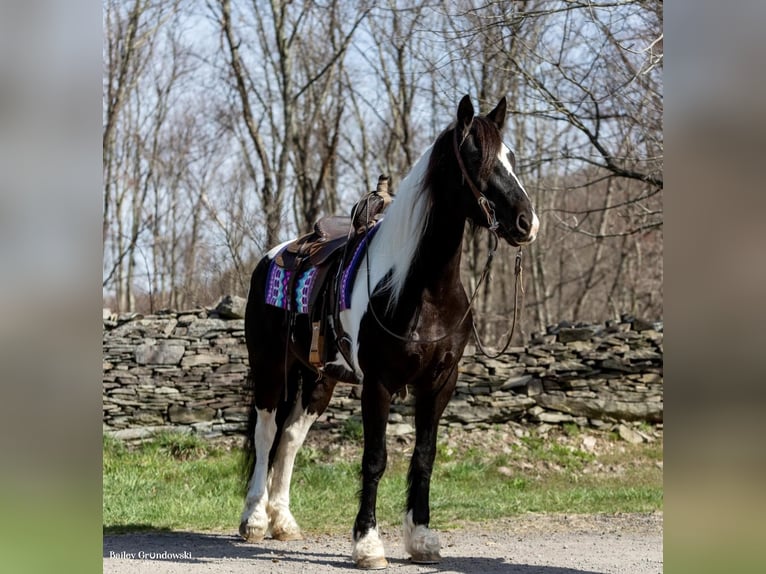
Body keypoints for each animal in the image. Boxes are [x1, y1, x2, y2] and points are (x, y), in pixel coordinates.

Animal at [240, 95, 540, 572]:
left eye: (511, 156)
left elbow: (424, 457)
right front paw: (367, 544)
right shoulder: (378, 384)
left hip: (318, 380)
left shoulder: (440, 383)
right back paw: (253, 519)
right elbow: (375, 459)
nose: (526, 222)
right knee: (267, 433)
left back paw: (282, 522)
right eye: (478, 158)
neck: (421, 289)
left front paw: (421, 539)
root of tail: (275, 255)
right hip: (270, 368)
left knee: (289, 439)